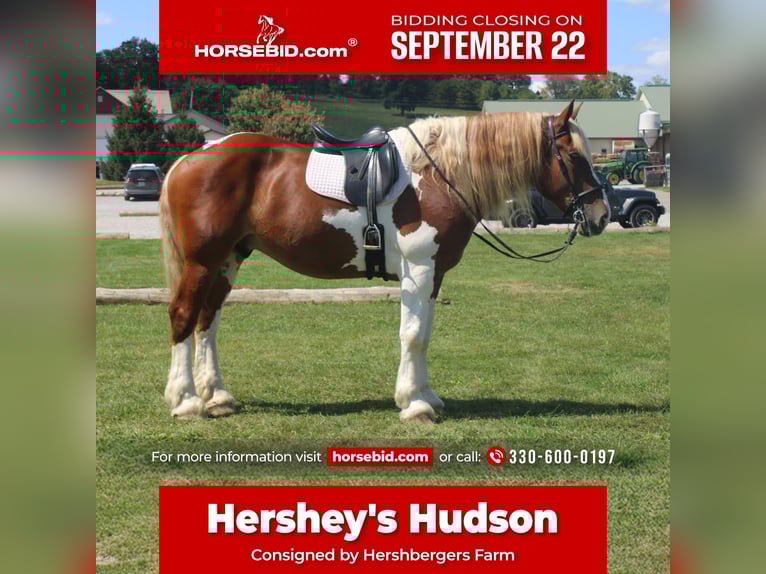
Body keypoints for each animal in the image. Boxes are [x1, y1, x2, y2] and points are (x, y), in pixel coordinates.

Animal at [159, 100, 609, 422]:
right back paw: (185, 401)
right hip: (202, 262)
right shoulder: (420, 270)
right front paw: (414, 405)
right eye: (574, 158)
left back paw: (217, 396)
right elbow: (412, 335)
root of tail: (190, 159)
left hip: (228, 260)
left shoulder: (434, 275)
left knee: (208, 321)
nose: (602, 215)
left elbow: (425, 334)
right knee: (184, 316)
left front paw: (426, 396)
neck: (438, 173)